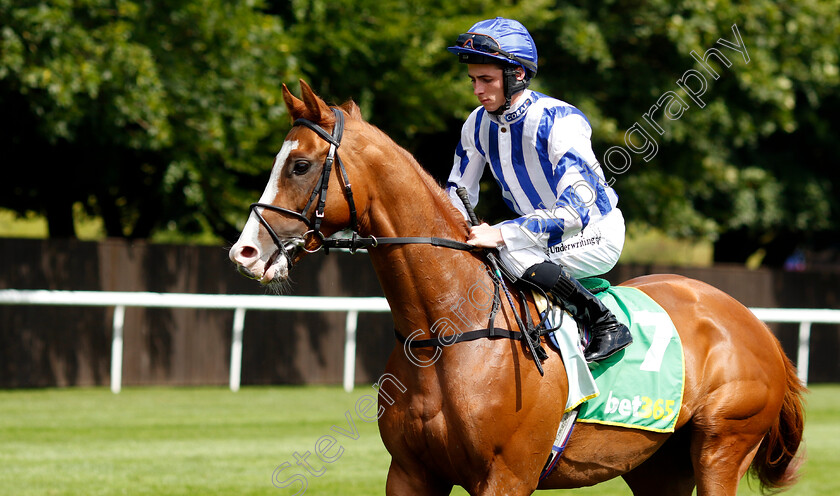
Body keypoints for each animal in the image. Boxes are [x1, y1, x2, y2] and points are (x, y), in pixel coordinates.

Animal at [226, 79, 804, 494]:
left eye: (300, 165)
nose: (245, 253)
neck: (449, 333)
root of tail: (754, 324)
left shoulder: (506, 476)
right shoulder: (412, 473)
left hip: (721, 445)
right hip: (657, 467)